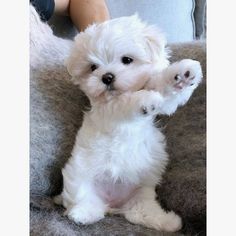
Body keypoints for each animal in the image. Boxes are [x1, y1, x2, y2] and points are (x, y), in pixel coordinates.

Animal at [54, 15, 203, 233]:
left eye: (127, 60)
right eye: (93, 67)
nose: (107, 77)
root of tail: (113, 205)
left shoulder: (160, 97)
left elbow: (164, 92)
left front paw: (183, 74)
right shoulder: (108, 110)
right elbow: (123, 102)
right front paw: (145, 99)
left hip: (140, 192)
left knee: (138, 212)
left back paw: (167, 221)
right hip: (81, 179)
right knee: (85, 201)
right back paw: (82, 214)